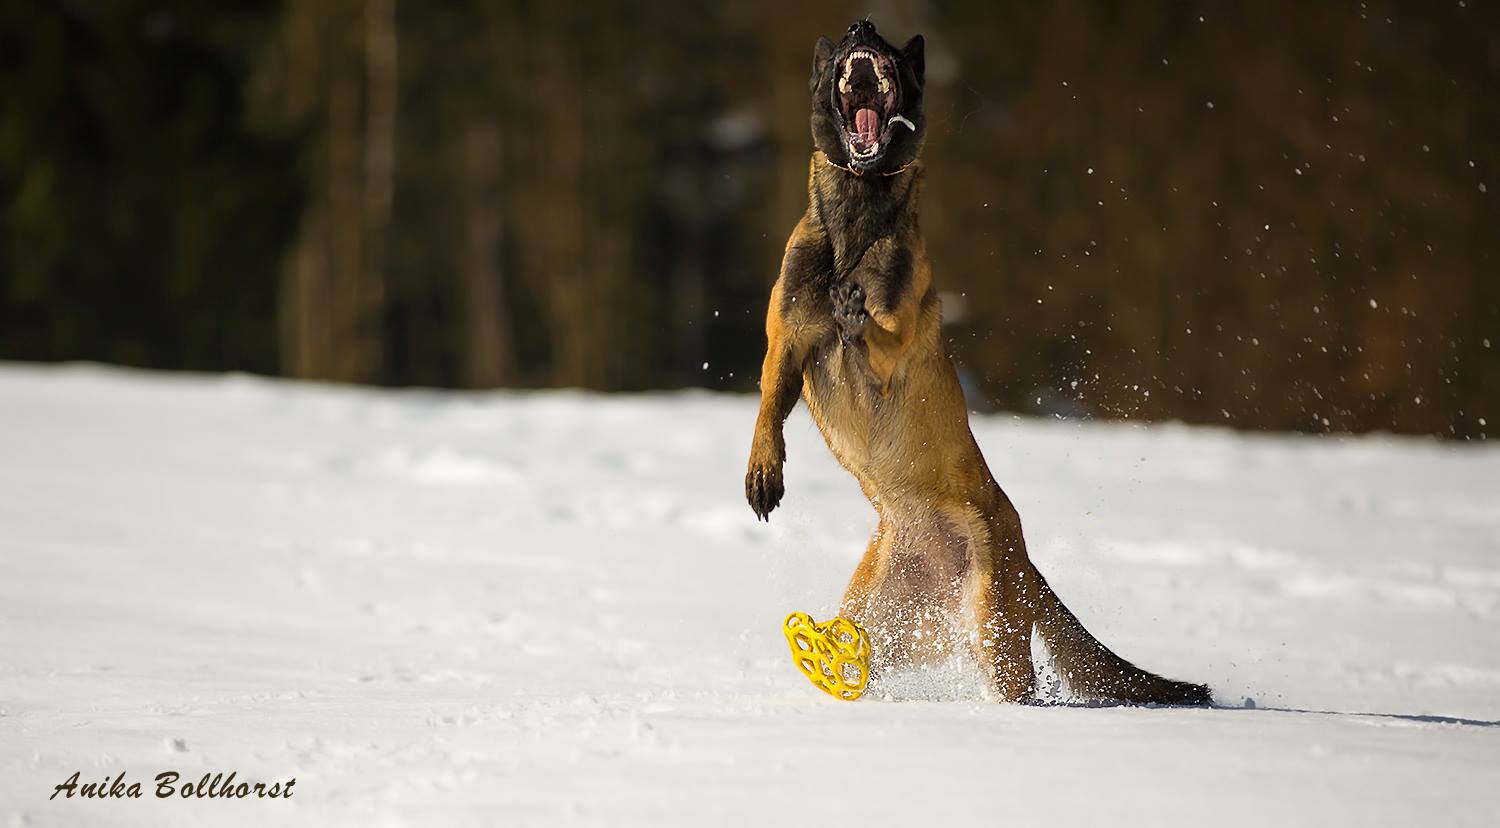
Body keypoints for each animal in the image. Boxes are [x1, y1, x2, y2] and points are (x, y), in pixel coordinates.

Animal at [744, 21, 1212, 705]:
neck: (856, 217)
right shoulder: (786, 342)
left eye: (888, 45)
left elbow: (876, 334)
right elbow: (768, 407)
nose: (862, 26)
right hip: (878, 616)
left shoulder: (898, 341)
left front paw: (855, 312)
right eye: (842, 45)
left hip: (995, 628)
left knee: (1023, 689)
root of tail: (1024, 553)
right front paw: (763, 472)